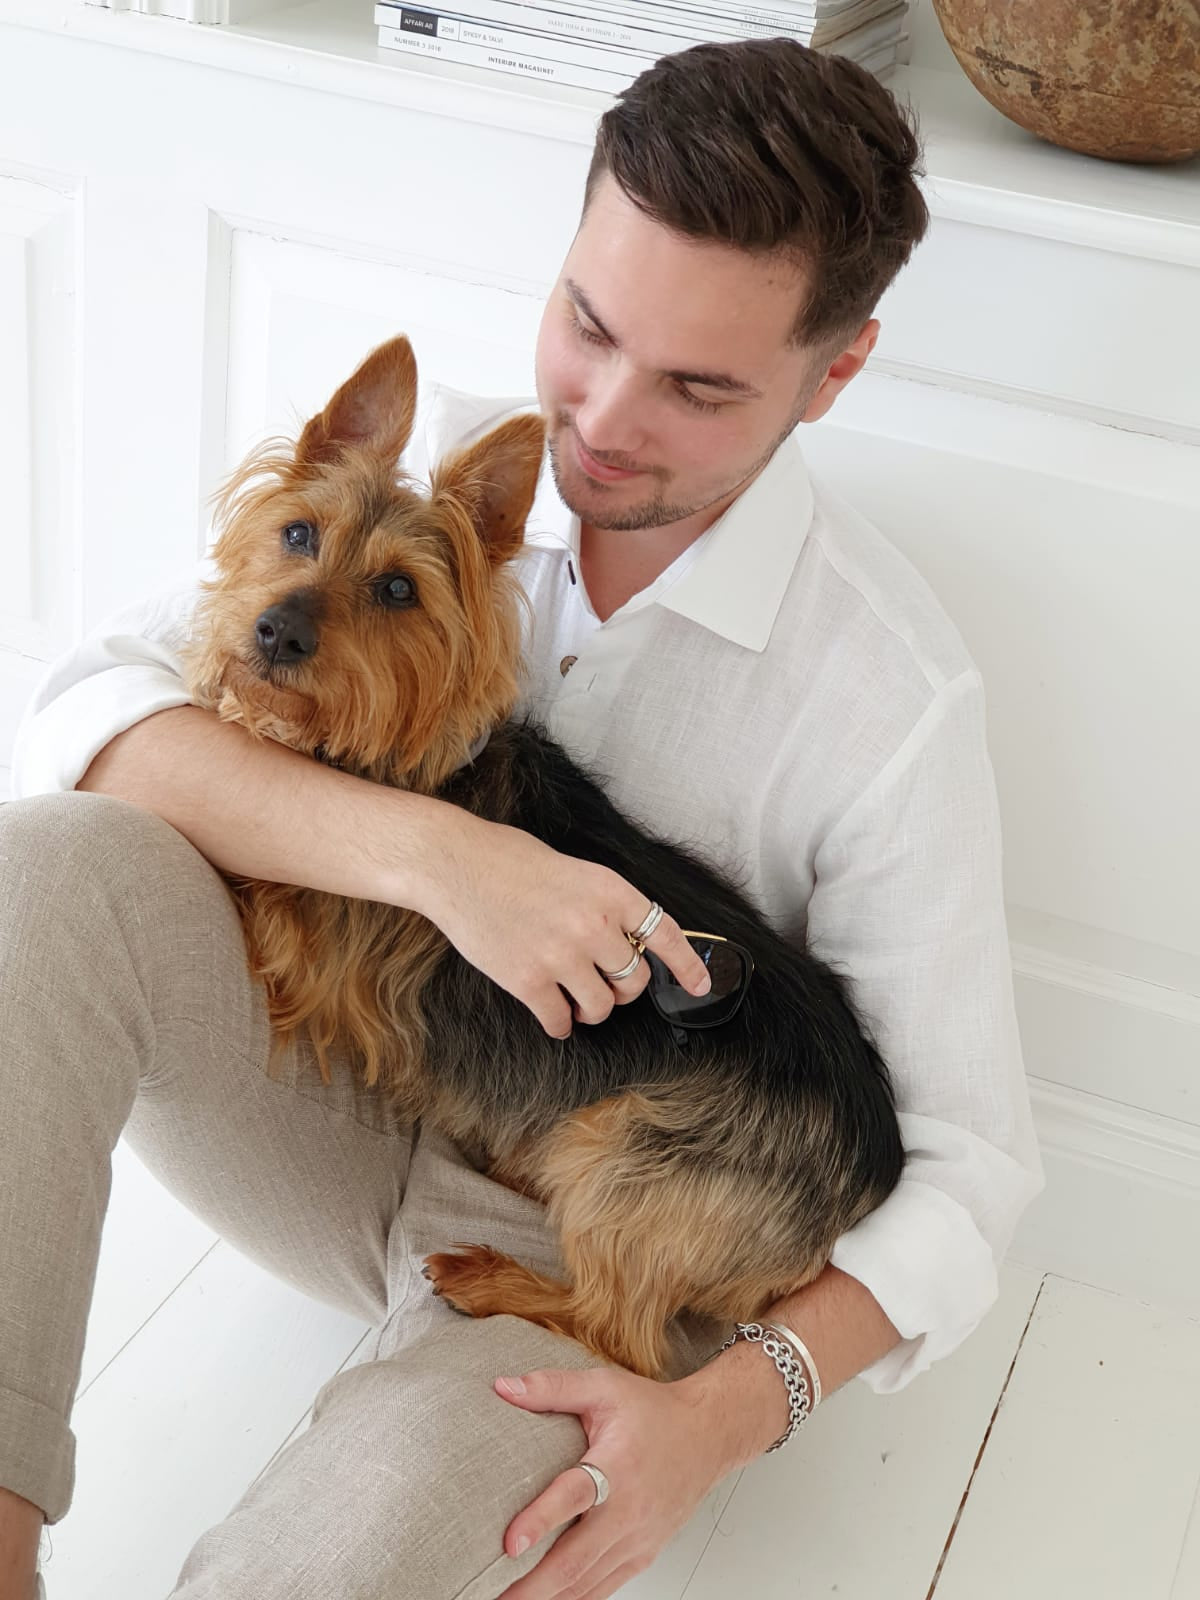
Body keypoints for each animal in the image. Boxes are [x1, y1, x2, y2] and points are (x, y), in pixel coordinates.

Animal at [180, 335, 905, 1379]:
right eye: (298, 534)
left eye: (398, 590)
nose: (277, 629)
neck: (379, 758)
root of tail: (872, 1173)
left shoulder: (315, 962)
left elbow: (259, 888)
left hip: (627, 1153)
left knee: (620, 1335)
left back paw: (491, 1277)